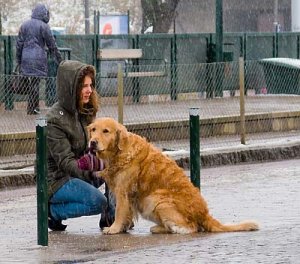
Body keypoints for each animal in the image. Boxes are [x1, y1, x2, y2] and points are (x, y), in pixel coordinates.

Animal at [88, 117, 258, 235]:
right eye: (93, 129)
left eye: (106, 131)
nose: (92, 142)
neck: (119, 153)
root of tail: (204, 214)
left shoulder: (123, 192)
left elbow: (119, 212)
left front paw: (113, 228)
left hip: (156, 199)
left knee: (191, 227)